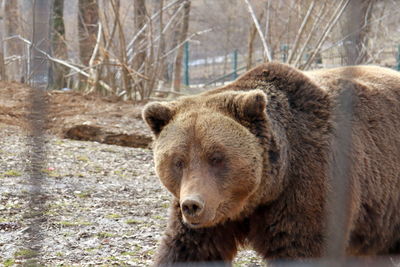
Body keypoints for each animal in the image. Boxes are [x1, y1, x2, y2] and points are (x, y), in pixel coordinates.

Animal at [141, 62, 400, 266]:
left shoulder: (311, 183)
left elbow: (301, 248)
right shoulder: (209, 215)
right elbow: (189, 250)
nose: (192, 205)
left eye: (216, 157)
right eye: (178, 161)